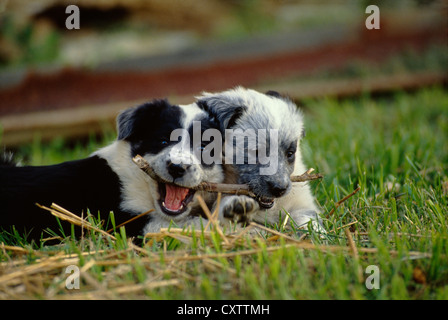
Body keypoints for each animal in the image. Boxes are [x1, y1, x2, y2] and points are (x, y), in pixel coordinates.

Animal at [198, 87, 324, 232]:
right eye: (256, 152)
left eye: (290, 153)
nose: (280, 189)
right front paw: (236, 208)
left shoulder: (302, 203)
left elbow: (307, 219)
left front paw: (319, 234)